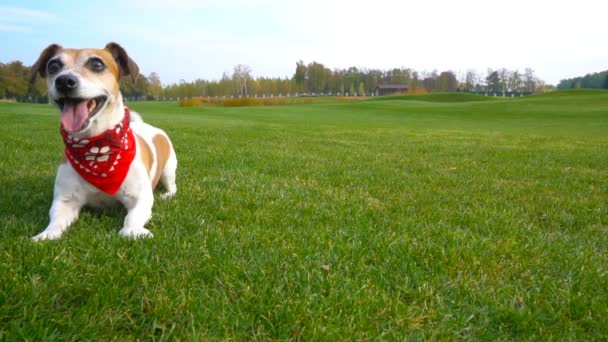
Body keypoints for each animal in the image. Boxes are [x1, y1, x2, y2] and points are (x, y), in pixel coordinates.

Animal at [29, 42, 177, 240]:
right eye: (53, 66)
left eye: (97, 64)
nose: (64, 81)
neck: (98, 151)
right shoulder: (66, 200)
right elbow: (56, 220)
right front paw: (46, 235)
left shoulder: (140, 197)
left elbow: (132, 218)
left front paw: (133, 231)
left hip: (168, 170)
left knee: (172, 186)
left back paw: (167, 195)